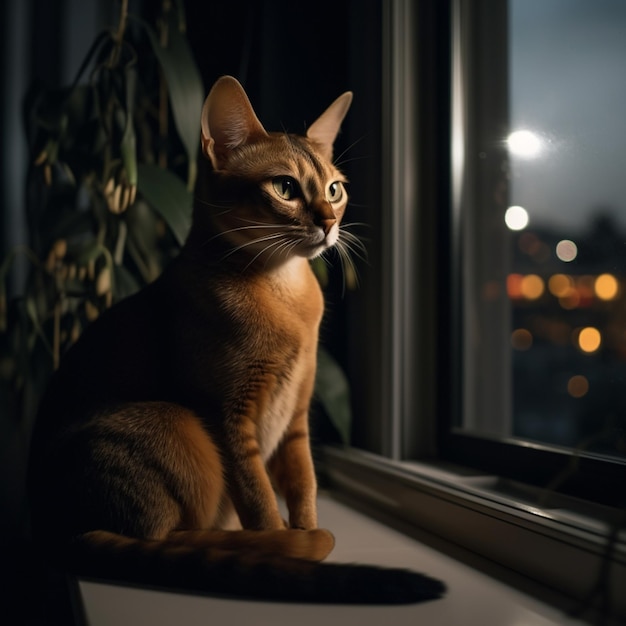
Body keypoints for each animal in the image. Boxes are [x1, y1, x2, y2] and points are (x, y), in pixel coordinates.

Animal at [26, 75, 442, 604]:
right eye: (285, 187)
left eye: (334, 189)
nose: (329, 222)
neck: (285, 294)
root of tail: (51, 526)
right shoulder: (229, 420)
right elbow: (260, 499)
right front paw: (286, 545)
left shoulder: (296, 419)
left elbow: (304, 485)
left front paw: (303, 527)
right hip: (176, 424)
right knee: (162, 537)